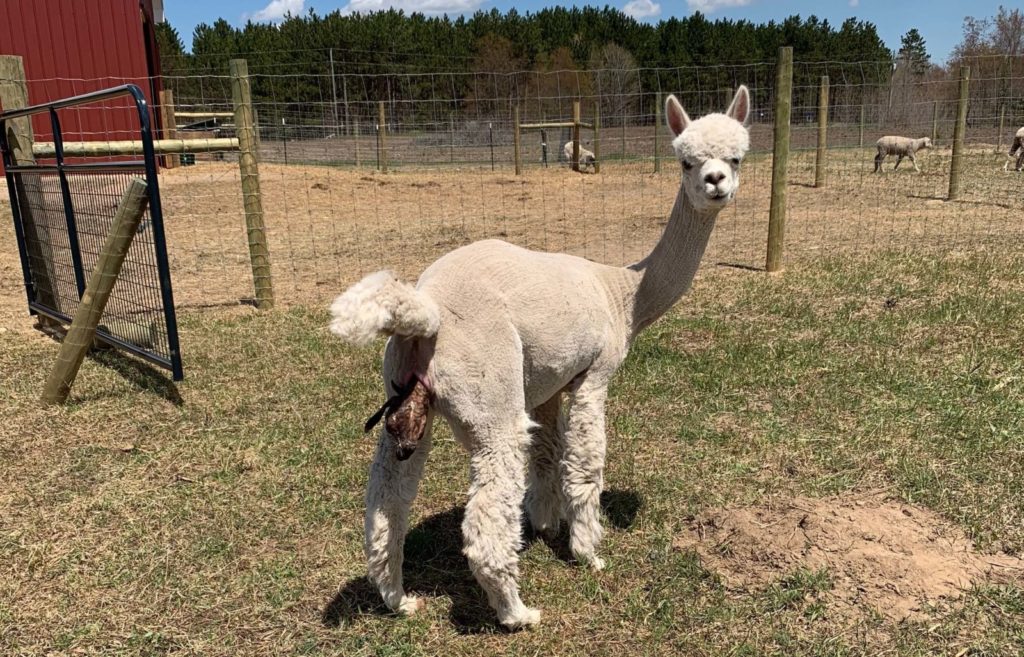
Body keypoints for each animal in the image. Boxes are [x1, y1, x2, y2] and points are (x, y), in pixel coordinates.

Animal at [327, 85, 753, 622]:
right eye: (685, 161)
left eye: (736, 157)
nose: (716, 182)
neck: (623, 294)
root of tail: (429, 309)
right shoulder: (596, 373)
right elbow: (585, 461)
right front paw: (588, 551)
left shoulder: (548, 383)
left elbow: (549, 455)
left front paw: (546, 524)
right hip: (491, 396)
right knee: (485, 516)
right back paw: (516, 612)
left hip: (404, 402)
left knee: (387, 503)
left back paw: (398, 598)